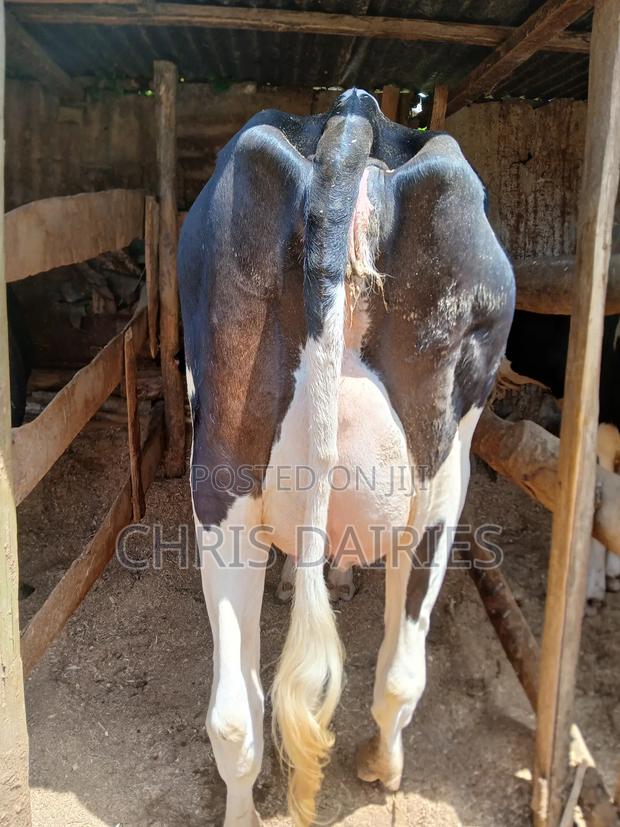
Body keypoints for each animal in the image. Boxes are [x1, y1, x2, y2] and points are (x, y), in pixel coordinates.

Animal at [178, 89, 515, 826]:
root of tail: (352, 119)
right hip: (441, 477)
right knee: (397, 672)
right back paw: (381, 766)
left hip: (223, 472)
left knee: (237, 713)